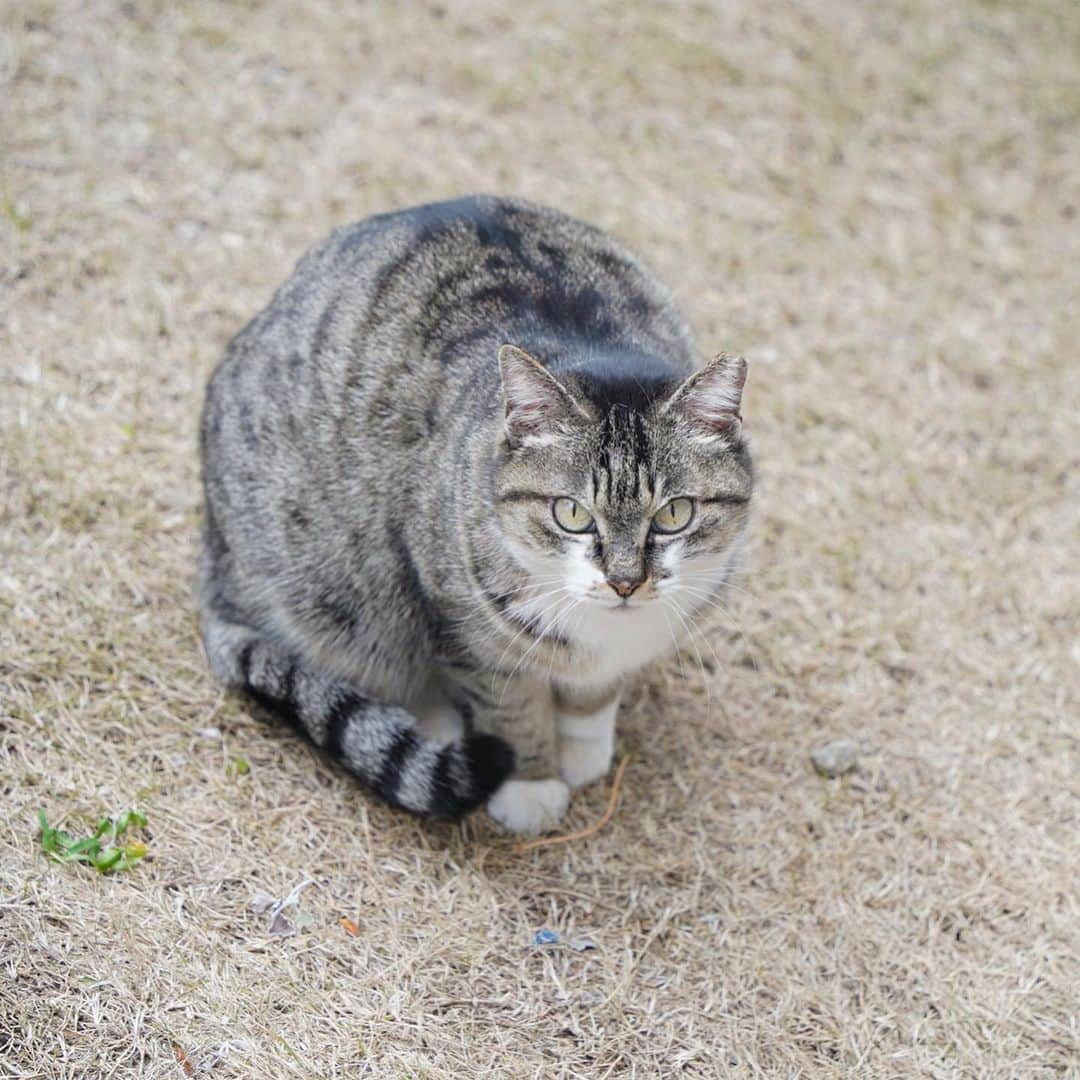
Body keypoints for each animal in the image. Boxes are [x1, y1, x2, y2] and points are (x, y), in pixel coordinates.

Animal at [198, 196, 751, 833]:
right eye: (571, 513)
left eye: (674, 514)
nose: (624, 582)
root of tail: (214, 556)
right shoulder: (465, 627)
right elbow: (511, 708)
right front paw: (532, 785)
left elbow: (593, 696)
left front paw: (584, 748)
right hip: (340, 591)